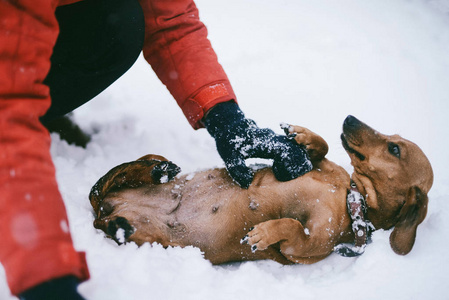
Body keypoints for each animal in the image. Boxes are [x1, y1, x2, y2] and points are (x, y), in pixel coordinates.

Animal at [89, 116, 432, 264]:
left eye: (394, 149)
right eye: (393, 139)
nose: (349, 118)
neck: (350, 196)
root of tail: (106, 209)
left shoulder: (303, 247)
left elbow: (291, 225)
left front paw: (263, 233)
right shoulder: (315, 166)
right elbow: (317, 150)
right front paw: (302, 136)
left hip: (150, 238)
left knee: (108, 205)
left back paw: (121, 222)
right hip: (136, 179)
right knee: (119, 174)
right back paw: (156, 170)